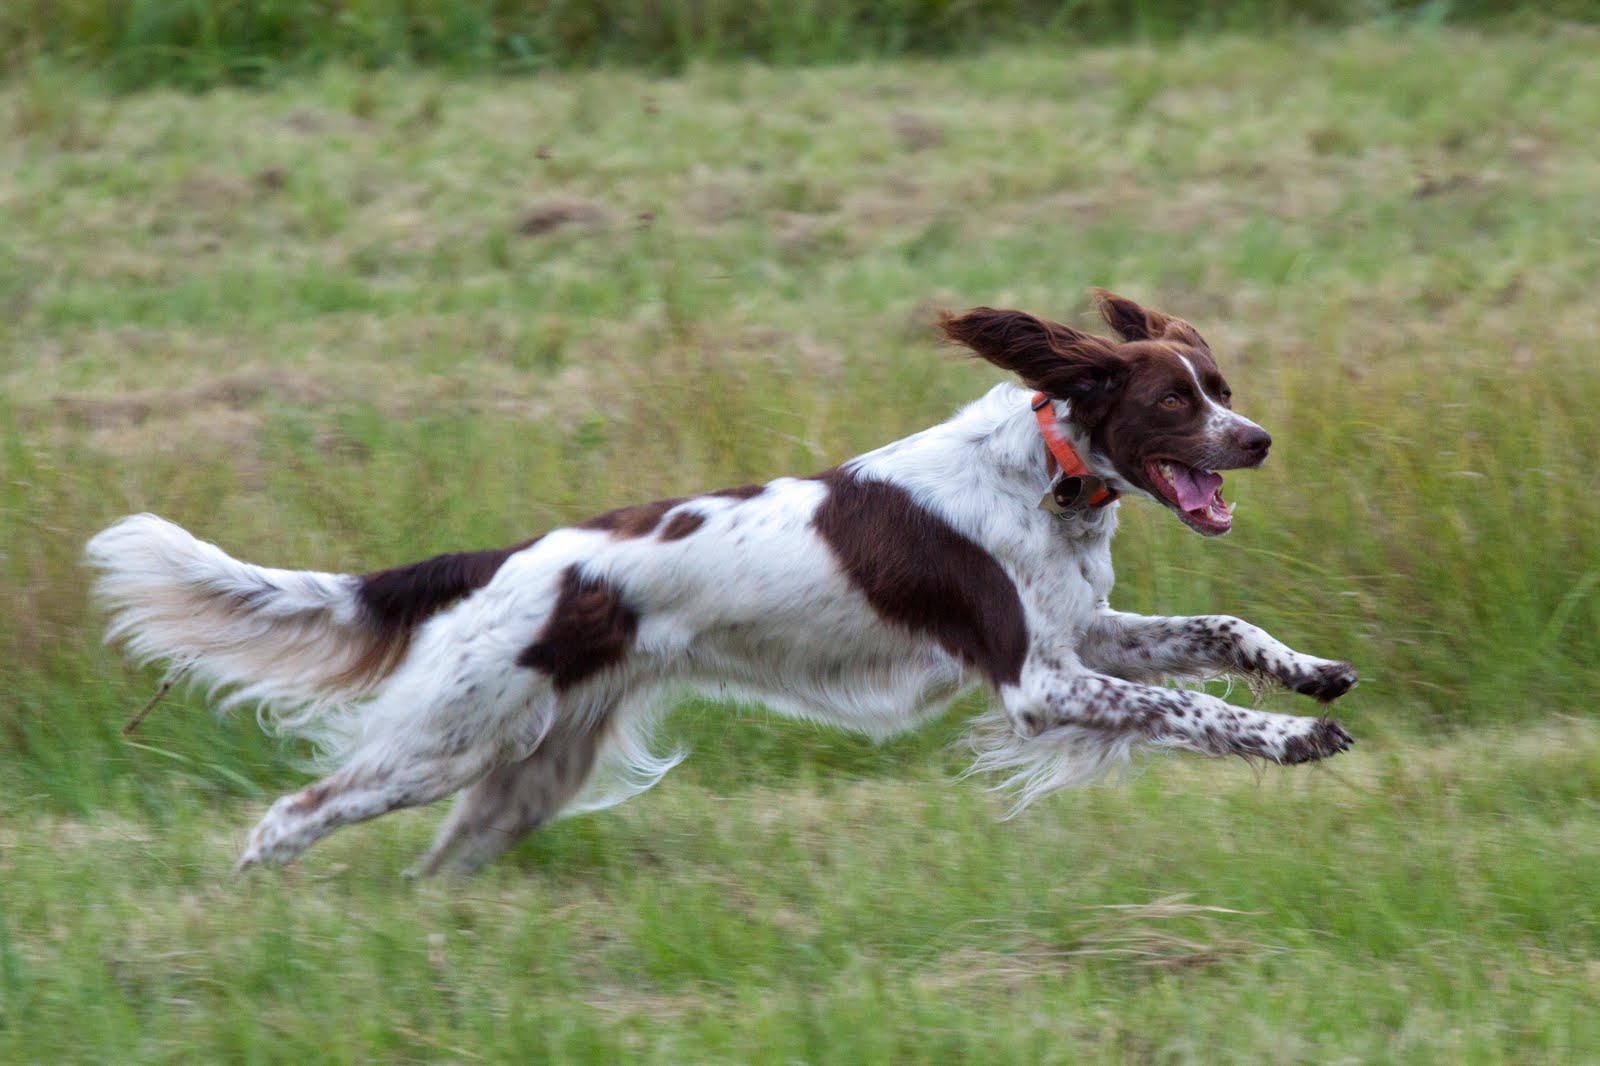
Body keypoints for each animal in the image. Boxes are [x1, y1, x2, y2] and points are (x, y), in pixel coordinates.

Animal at [87, 291, 1356, 870]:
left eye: (1221, 384)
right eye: (1172, 399)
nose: (1257, 439)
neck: (1046, 474)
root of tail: (513, 559)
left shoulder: (1082, 634)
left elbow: (1220, 629)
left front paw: (1311, 675)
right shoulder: (1036, 679)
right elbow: (1187, 707)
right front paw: (1291, 740)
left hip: (528, 769)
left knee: (442, 852)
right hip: (449, 734)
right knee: (296, 809)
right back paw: (251, 896)